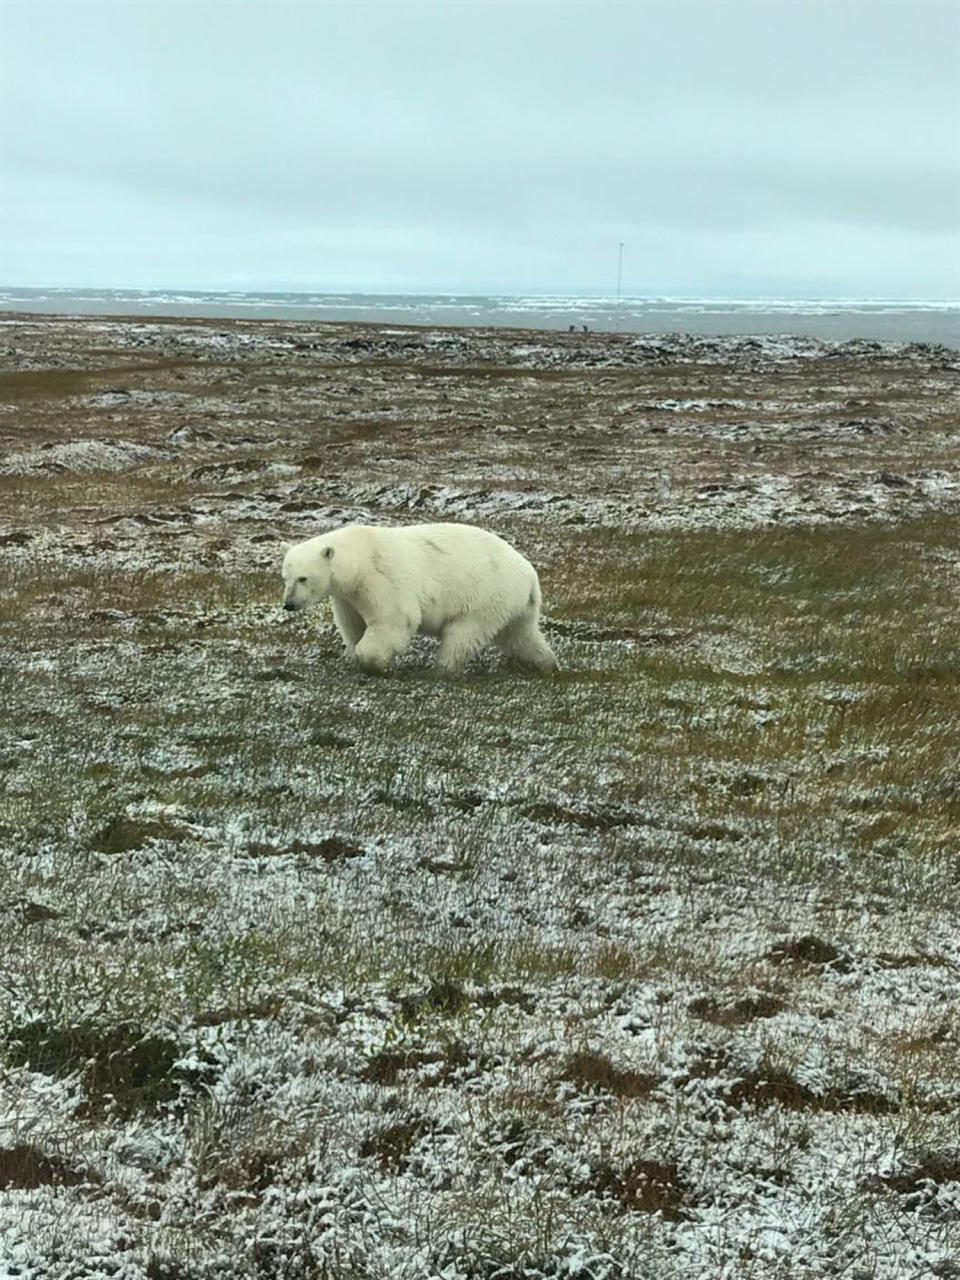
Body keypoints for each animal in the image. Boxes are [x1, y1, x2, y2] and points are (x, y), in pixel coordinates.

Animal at [281, 522, 560, 675]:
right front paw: (352, 655)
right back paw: (546, 665)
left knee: (462, 635)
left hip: (485, 597)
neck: (358, 559)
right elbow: (352, 625)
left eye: (303, 578)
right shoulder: (347, 597)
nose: (289, 604)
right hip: (512, 603)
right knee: (520, 635)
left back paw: (440, 670)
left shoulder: (379, 579)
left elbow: (394, 618)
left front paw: (370, 661)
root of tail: (530, 575)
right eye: (285, 577)